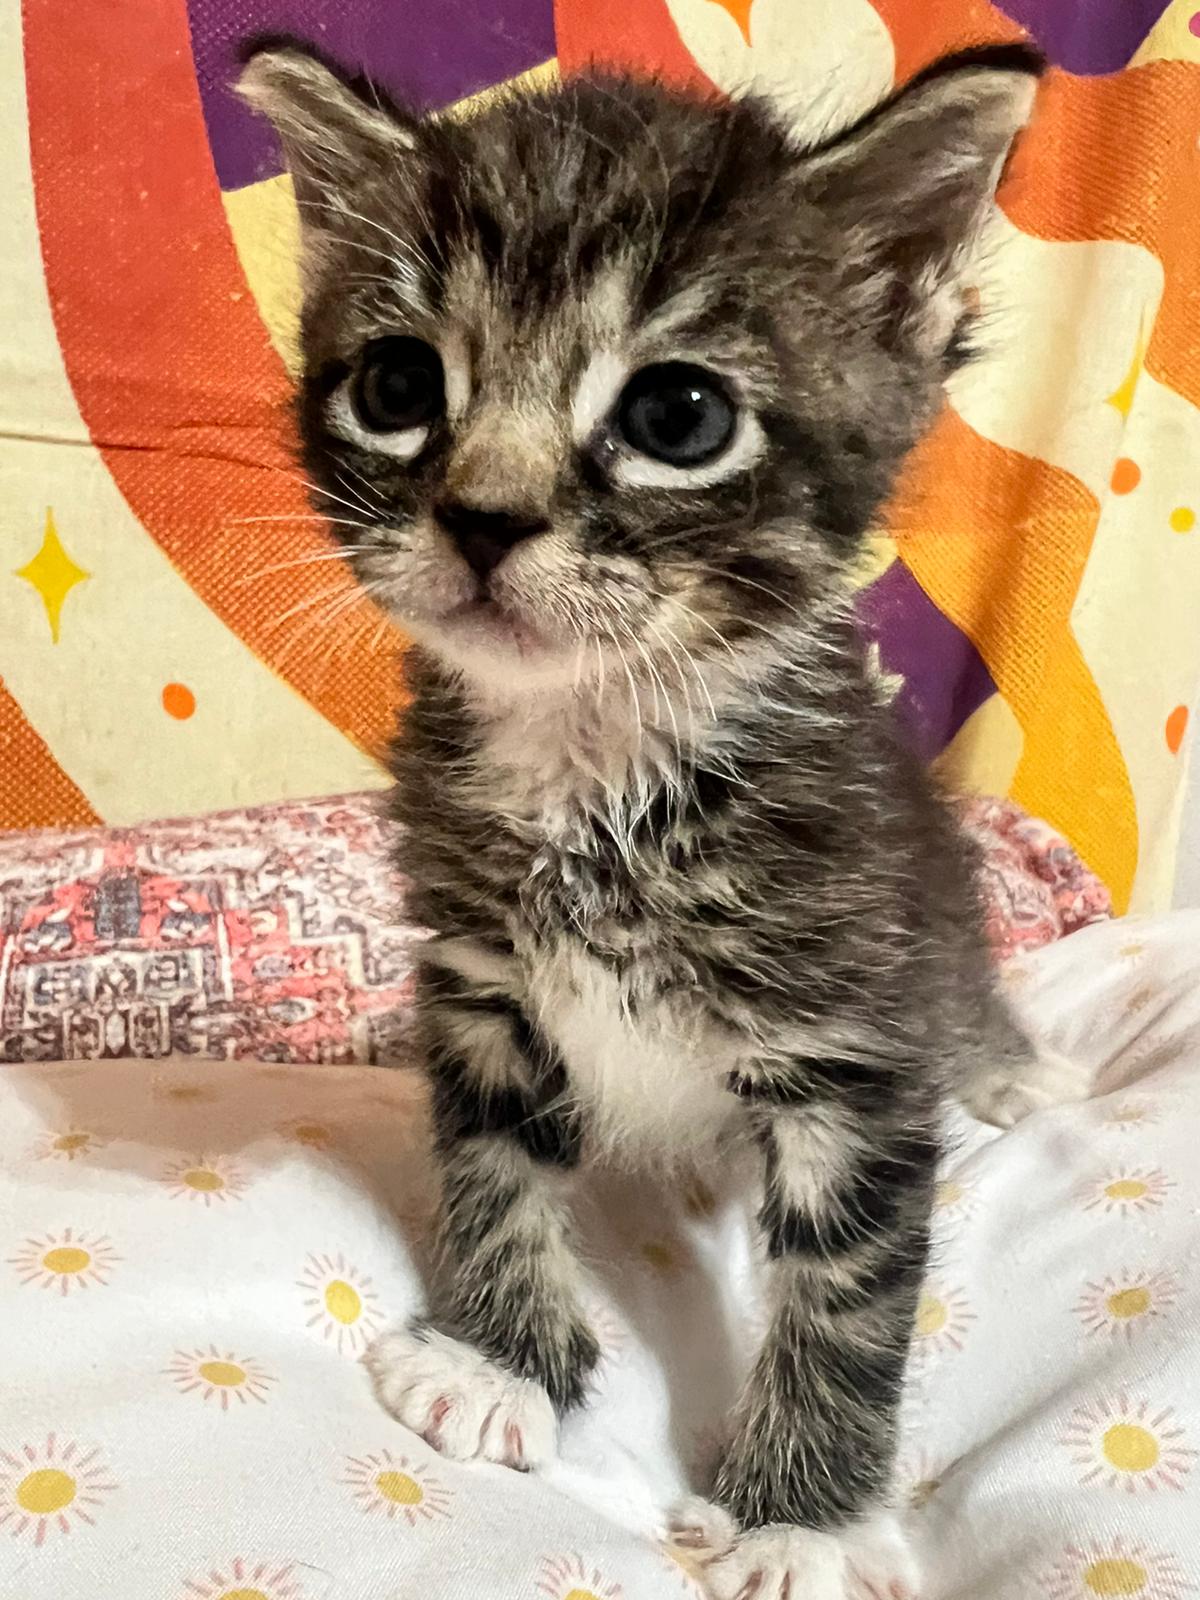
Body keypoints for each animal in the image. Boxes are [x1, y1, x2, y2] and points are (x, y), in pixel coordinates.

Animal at [241, 50, 1081, 1600]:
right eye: (397, 385)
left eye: (677, 417)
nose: (482, 517)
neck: (595, 764)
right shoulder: (480, 981)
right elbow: (493, 1165)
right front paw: (497, 1359)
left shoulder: (852, 1044)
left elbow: (848, 1295)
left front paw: (799, 1519)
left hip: (924, 892)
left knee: (967, 991)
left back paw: (1012, 1070)